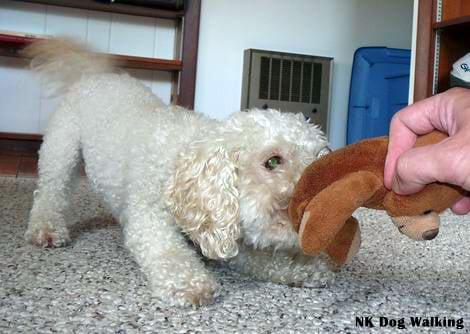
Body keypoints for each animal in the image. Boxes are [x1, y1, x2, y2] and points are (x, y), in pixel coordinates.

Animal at [24, 39, 334, 306]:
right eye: (272, 161)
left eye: (318, 162)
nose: (319, 198)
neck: (184, 162)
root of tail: (96, 75)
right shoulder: (151, 221)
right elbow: (170, 255)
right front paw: (190, 284)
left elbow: (265, 260)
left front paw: (305, 269)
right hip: (60, 152)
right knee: (49, 193)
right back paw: (46, 229)